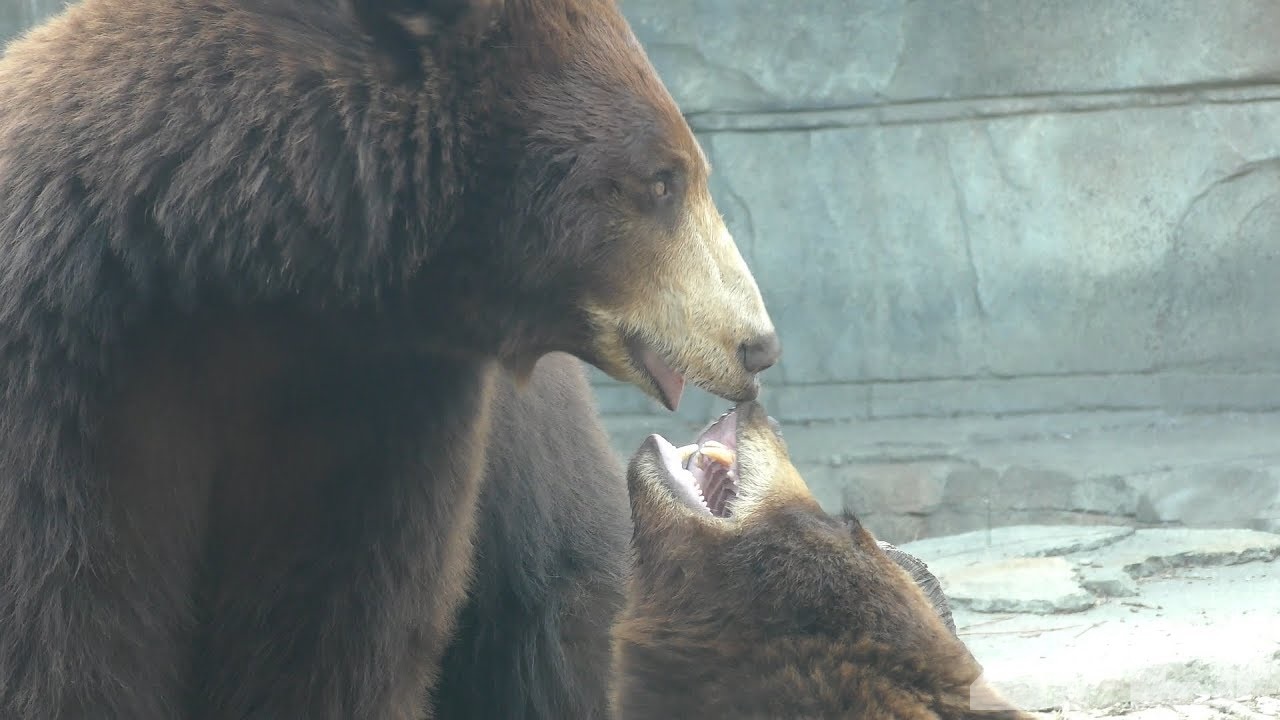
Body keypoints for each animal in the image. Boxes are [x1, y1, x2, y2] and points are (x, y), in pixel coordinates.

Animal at [0, 1, 778, 712]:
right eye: (662, 180)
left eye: (683, 172)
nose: (757, 344)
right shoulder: (75, 365)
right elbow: (67, 611)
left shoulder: (383, 402)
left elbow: (335, 620)